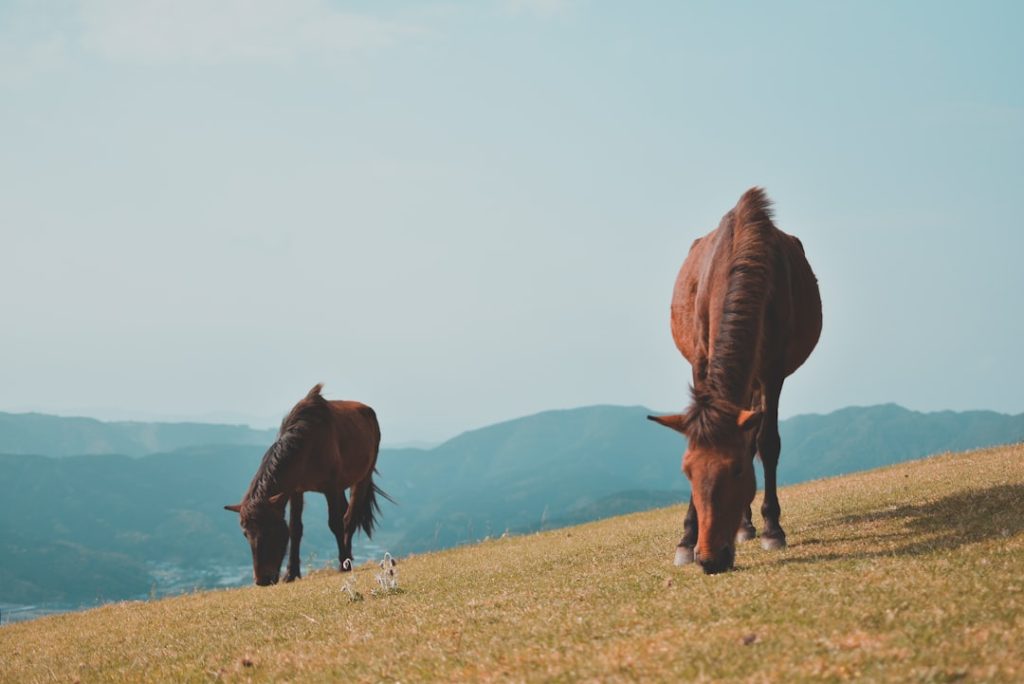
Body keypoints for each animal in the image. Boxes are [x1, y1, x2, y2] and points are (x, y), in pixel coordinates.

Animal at [224, 384, 392, 585]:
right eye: (245, 534)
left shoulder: (330, 488)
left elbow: (335, 523)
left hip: (362, 479)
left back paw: (346, 560)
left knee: (349, 518)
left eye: (270, 530)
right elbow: (295, 529)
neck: (307, 444)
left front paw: (343, 564)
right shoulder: (296, 491)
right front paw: (291, 573)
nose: (262, 580)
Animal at [648, 188, 821, 574]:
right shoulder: (700, 361)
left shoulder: (772, 369)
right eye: (686, 472)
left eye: (738, 471)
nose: (711, 559)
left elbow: (767, 443)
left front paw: (773, 529)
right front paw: (686, 538)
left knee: (756, 439)